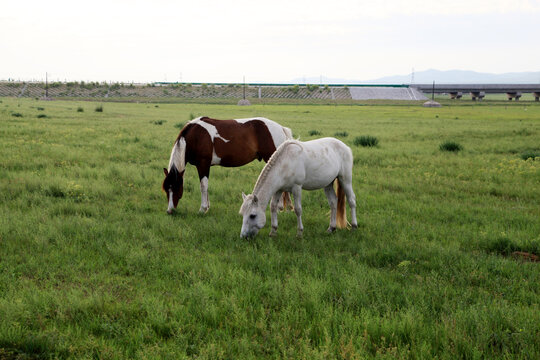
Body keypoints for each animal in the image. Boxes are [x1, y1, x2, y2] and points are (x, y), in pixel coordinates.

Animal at [162, 116, 294, 214]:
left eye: (176, 187)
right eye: (166, 189)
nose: (170, 210)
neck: (196, 136)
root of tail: (281, 128)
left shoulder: (203, 164)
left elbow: (203, 186)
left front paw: (202, 209)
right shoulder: (205, 166)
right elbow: (206, 186)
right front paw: (207, 207)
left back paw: (279, 207)